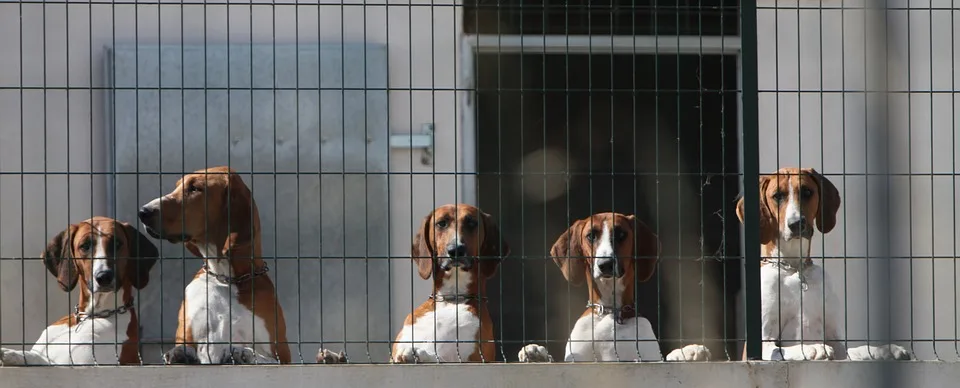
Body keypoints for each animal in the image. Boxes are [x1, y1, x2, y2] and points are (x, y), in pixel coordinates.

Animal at [0, 217, 159, 366]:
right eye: (85, 246)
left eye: (117, 244)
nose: (104, 276)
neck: (89, 316)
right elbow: (37, 356)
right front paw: (15, 354)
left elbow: (47, 361)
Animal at [138, 166, 342, 364]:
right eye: (177, 186)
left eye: (195, 188)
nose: (143, 212)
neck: (226, 278)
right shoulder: (188, 333)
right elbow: (185, 348)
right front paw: (180, 353)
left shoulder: (279, 353)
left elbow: (263, 357)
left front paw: (244, 353)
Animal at [390, 205, 510, 362]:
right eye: (441, 223)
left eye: (472, 223)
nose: (456, 249)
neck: (451, 300)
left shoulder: (472, 357)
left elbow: (438, 358)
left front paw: (419, 354)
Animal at [516, 214, 712, 362]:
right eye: (591, 236)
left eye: (621, 234)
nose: (605, 264)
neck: (609, 311)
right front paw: (536, 353)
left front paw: (687, 352)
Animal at [740, 166, 912, 360]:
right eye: (777, 196)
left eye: (807, 192)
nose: (796, 223)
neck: (794, 269)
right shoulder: (762, 343)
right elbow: (782, 349)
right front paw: (812, 347)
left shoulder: (838, 345)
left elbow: (859, 350)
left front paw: (886, 350)